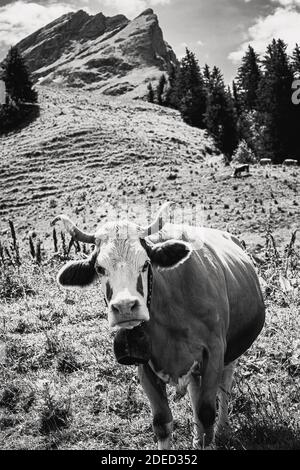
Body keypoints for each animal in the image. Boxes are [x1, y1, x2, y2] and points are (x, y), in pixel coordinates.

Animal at [52, 203, 264, 452]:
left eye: (145, 264)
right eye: (100, 268)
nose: (125, 307)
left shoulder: (214, 351)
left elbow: (206, 413)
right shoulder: (144, 365)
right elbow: (162, 422)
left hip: (231, 353)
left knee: (225, 386)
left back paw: (223, 429)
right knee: (195, 389)